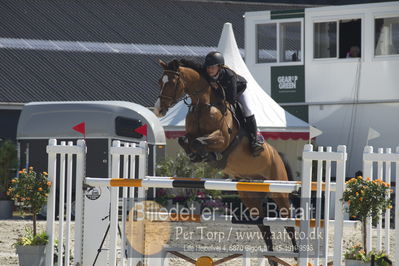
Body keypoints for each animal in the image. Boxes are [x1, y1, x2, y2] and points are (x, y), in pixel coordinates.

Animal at [155, 58, 298, 264]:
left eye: (172, 83)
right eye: (160, 81)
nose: (158, 110)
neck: (203, 105)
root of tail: (277, 154)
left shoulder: (222, 139)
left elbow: (200, 142)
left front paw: (208, 155)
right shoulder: (189, 134)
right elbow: (185, 140)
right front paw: (196, 155)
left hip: (279, 192)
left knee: (289, 224)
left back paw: (296, 254)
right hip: (250, 197)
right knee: (264, 226)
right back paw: (272, 258)